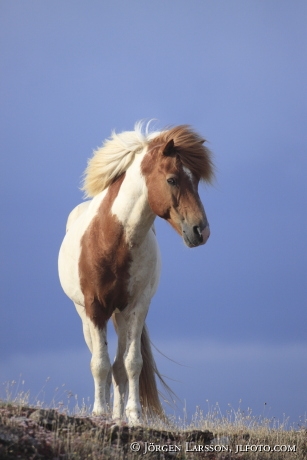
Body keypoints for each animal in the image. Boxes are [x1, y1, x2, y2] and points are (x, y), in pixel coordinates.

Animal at [59, 121, 215, 424]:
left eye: (196, 182)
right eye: (172, 180)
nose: (201, 231)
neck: (113, 242)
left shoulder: (136, 307)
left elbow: (131, 364)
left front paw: (133, 417)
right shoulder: (95, 308)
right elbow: (100, 364)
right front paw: (99, 413)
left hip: (120, 316)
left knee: (119, 366)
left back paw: (119, 416)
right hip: (86, 315)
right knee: (102, 361)